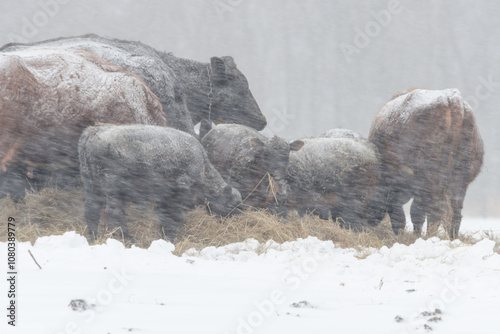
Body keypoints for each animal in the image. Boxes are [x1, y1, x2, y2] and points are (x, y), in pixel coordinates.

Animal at [78, 125, 242, 243]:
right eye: (232, 205)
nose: (237, 219)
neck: (203, 168)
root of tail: (92, 133)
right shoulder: (180, 190)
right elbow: (173, 215)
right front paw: (170, 238)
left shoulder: (163, 194)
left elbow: (164, 215)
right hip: (113, 185)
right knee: (114, 212)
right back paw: (127, 238)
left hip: (91, 181)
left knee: (91, 209)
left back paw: (93, 237)